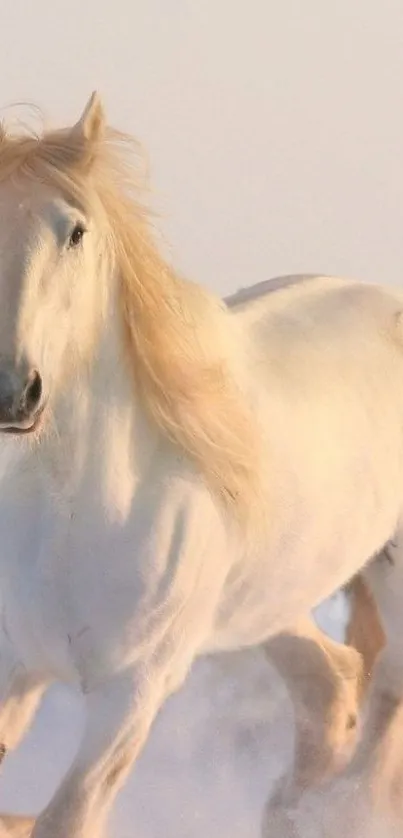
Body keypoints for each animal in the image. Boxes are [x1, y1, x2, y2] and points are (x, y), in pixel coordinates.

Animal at [0, 95, 403, 836]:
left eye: (75, 232)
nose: (13, 391)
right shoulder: (16, 664)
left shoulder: (132, 692)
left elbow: (66, 818)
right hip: (273, 598)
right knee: (330, 684)